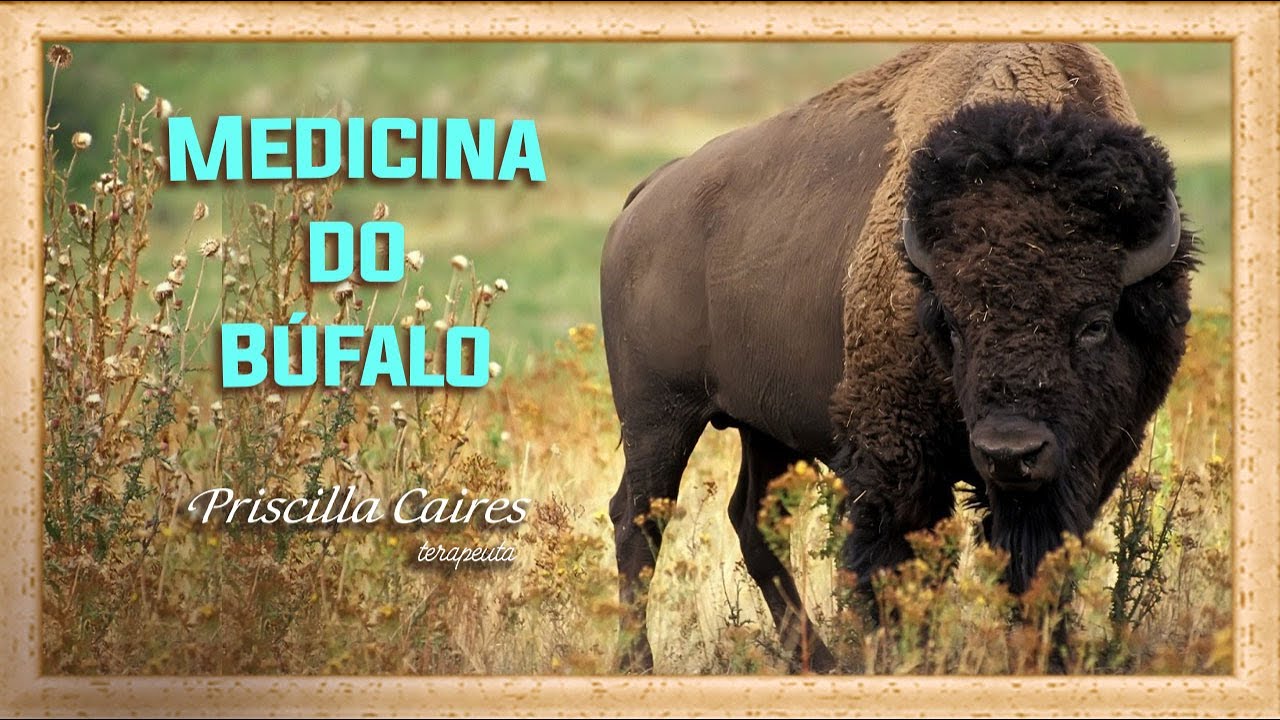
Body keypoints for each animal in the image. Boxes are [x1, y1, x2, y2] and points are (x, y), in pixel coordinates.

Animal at [599, 43, 1196, 674]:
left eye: (1095, 324)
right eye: (953, 324)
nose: (1010, 452)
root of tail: (646, 197)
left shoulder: (1087, 465)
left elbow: (1039, 565)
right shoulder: (897, 455)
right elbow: (898, 560)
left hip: (764, 429)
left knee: (752, 520)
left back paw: (819, 660)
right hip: (659, 418)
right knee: (639, 519)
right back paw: (639, 662)